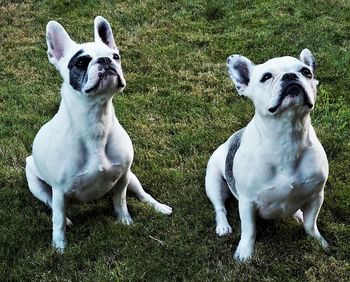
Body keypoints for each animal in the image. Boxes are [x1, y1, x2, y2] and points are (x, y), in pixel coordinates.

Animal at [25, 16, 172, 252]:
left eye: (116, 56)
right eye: (80, 62)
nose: (105, 60)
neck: (96, 118)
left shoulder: (123, 176)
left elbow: (120, 201)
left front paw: (125, 221)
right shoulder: (59, 191)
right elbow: (57, 218)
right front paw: (59, 246)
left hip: (132, 176)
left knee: (142, 193)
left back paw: (158, 206)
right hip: (35, 183)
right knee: (50, 203)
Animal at [205, 49, 328, 262]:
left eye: (306, 72)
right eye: (266, 77)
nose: (290, 76)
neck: (287, 136)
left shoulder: (316, 195)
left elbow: (310, 223)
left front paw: (317, 241)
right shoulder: (247, 202)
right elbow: (249, 230)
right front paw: (245, 252)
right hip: (213, 181)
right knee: (219, 206)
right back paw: (223, 226)